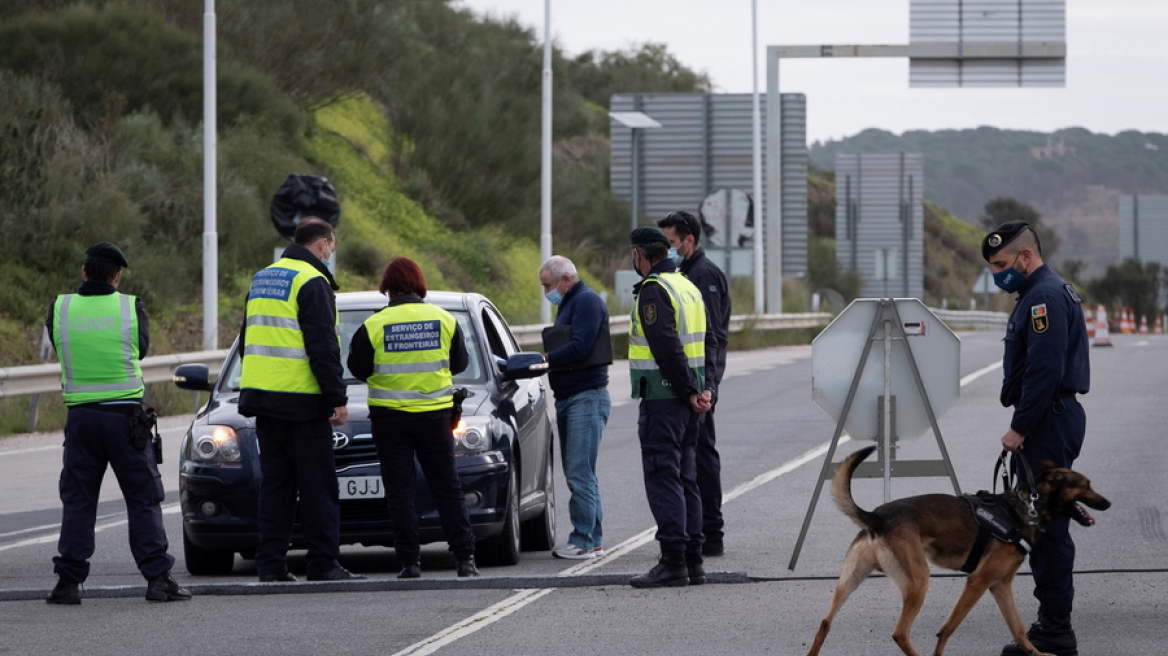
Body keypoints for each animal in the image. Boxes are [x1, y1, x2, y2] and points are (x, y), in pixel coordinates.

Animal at [808, 441, 1107, 648]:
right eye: (1086, 485)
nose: (1107, 503)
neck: (1028, 507)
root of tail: (877, 517)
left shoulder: (1000, 585)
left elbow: (1018, 629)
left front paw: (1037, 652)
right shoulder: (978, 581)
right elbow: (947, 629)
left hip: (851, 580)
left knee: (824, 623)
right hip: (918, 581)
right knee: (900, 633)